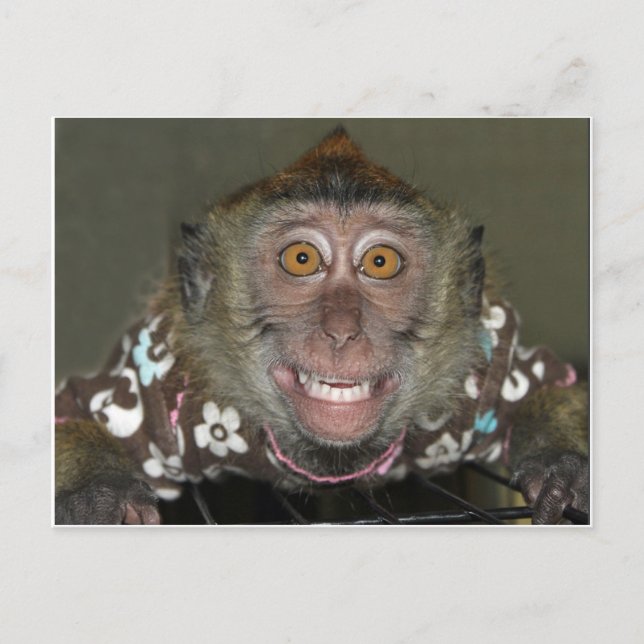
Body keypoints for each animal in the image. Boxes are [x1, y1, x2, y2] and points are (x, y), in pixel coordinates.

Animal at [54, 126, 589, 525]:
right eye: (302, 258)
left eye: (379, 262)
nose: (341, 330)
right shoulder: (160, 380)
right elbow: (74, 407)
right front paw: (98, 492)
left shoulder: (488, 365)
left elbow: (551, 383)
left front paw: (561, 466)